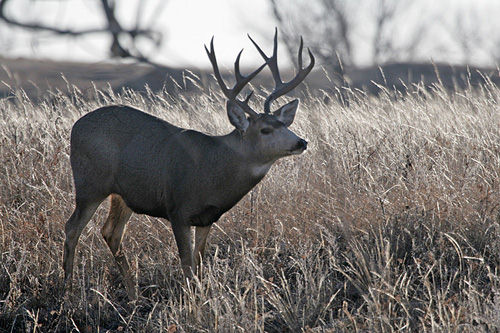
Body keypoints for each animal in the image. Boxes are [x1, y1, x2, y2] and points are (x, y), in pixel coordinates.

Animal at [61, 29, 312, 298]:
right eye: (265, 130)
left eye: (284, 124)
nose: (301, 142)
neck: (214, 171)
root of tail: (75, 127)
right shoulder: (177, 208)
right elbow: (186, 263)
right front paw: (190, 300)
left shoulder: (207, 217)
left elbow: (199, 262)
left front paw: (200, 296)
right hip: (90, 183)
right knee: (72, 227)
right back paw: (67, 290)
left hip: (123, 194)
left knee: (111, 232)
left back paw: (132, 295)